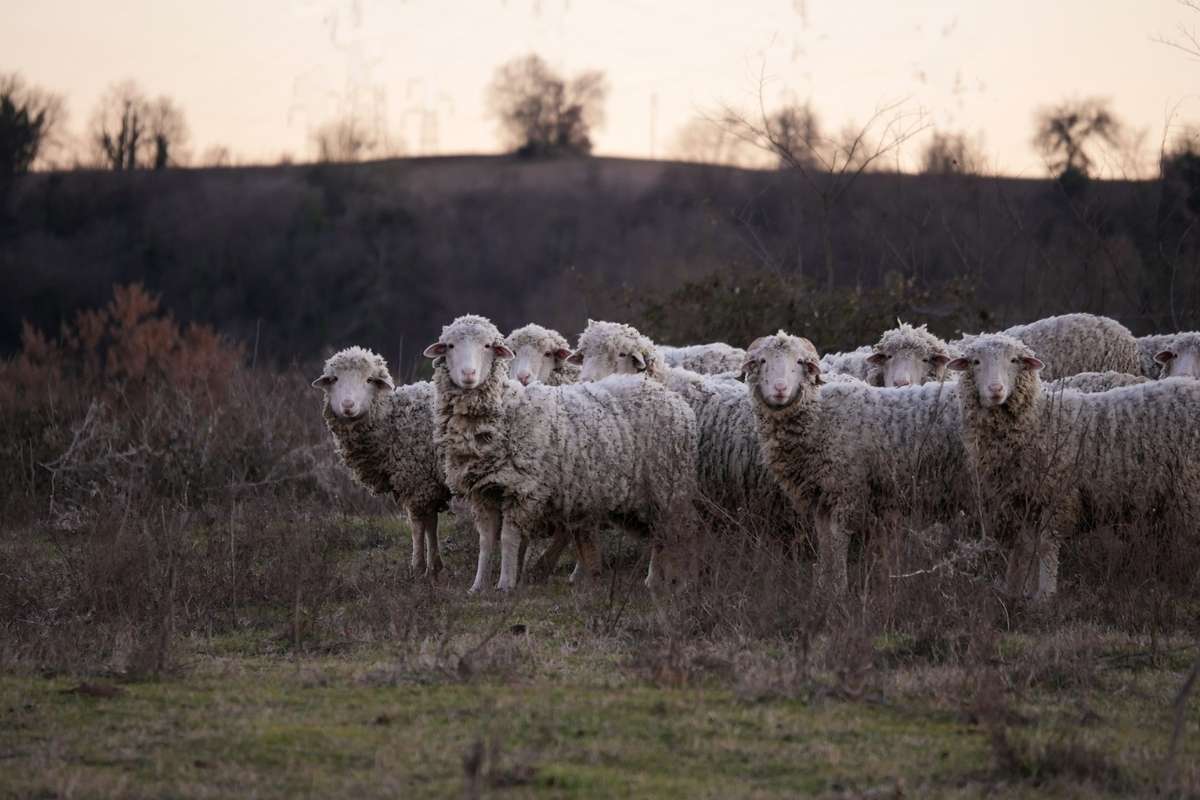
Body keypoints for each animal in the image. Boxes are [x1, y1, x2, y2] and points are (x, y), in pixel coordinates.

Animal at [314, 347, 451, 578]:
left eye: (369, 379)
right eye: (334, 379)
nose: (348, 405)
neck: (392, 419)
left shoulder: (416, 479)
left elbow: (418, 524)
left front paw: (418, 567)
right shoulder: (428, 483)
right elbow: (431, 523)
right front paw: (435, 566)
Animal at [424, 316, 700, 592]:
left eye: (487, 346)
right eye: (449, 346)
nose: (469, 374)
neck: (506, 407)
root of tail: (669, 395)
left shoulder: (521, 490)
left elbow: (509, 538)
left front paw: (505, 584)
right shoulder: (483, 491)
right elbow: (487, 541)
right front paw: (479, 586)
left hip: (667, 486)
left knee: (675, 532)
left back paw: (672, 581)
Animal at [739, 331, 964, 594]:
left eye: (800, 362)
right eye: (762, 361)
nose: (780, 388)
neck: (820, 416)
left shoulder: (845, 489)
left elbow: (838, 538)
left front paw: (839, 588)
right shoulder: (820, 496)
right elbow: (824, 539)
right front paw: (822, 586)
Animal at [945, 333, 1200, 599]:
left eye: (1014, 360)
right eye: (975, 362)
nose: (996, 390)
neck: (1039, 419)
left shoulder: (1057, 494)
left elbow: (1046, 544)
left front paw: (1045, 594)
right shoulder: (1023, 498)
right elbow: (1024, 545)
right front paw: (1018, 591)